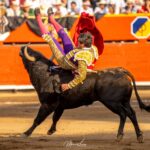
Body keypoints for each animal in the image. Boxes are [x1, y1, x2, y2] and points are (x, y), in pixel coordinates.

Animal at [19, 45, 150, 142]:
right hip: (125, 101)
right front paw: (51, 131)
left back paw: (120, 136)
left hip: (112, 102)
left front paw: (25, 133)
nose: (23, 46)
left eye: (29, 53)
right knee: (131, 113)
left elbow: (38, 119)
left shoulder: (47, 104)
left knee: (123, 114)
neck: (46, 74)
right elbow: (55, 118)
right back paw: (139, 136)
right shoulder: (60, 106)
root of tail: (121, 71)